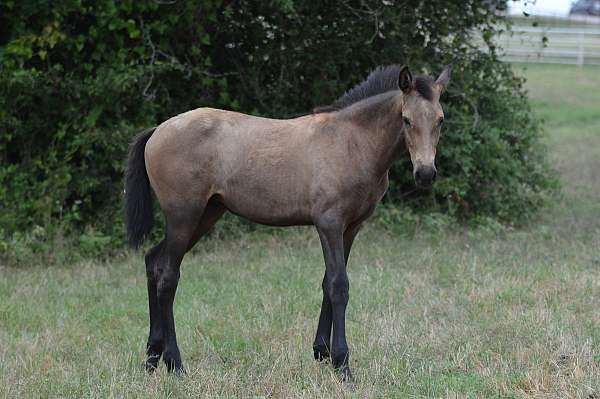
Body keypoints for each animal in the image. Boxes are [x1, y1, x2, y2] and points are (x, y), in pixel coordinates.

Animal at [127, 64, 454, 382]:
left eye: (440, 120)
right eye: (406, 119)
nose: (425, 173)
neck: (352, 142)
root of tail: (158, 130)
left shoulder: (351, 227)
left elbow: (327, 282)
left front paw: (322, 353)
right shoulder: (329, 223)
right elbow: (338, 285)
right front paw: (342, 365)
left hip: (206, 214)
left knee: (154, 262)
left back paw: (152, 358)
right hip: (184, 215)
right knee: (168, 277)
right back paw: (175, 364)